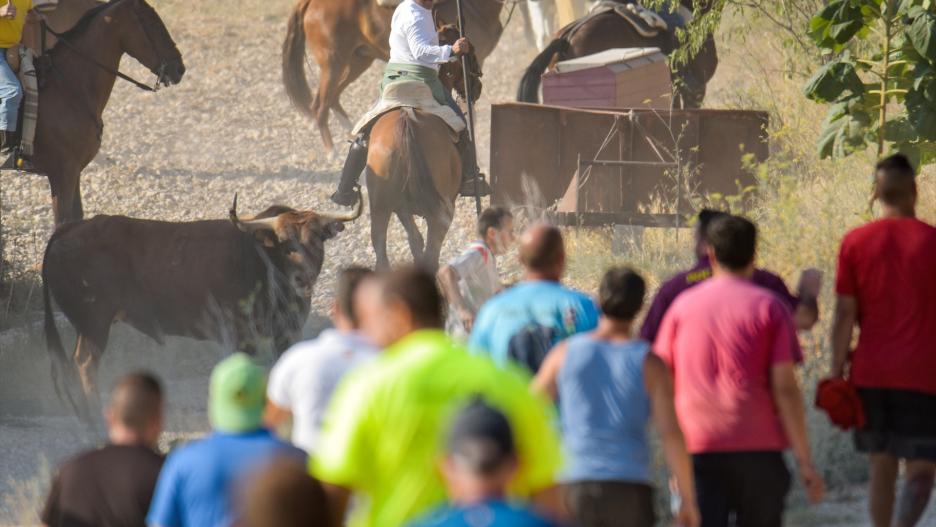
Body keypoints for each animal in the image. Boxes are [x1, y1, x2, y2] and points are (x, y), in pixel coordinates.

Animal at [42, 196, 362, 422]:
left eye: (317, 239)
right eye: (285, 244)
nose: (303, 278)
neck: (262, 260)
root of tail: (70, 228)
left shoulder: (286, 334)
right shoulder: (241, 336)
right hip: (94, 323)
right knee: (85, 363)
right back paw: (94, 416)